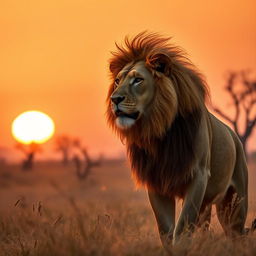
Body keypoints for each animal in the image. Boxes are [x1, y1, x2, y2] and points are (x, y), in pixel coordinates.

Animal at [106, 31, 248, 248]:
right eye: (117, 81)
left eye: (138, 80)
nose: (114, 99)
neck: (160, 133)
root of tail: (234, 136)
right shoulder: (156, 182)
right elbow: (166, 230)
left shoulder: (198, 176)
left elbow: (183, 227)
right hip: (208, 204)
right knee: (206, 228)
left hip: (235, 203)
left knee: (236, 234)